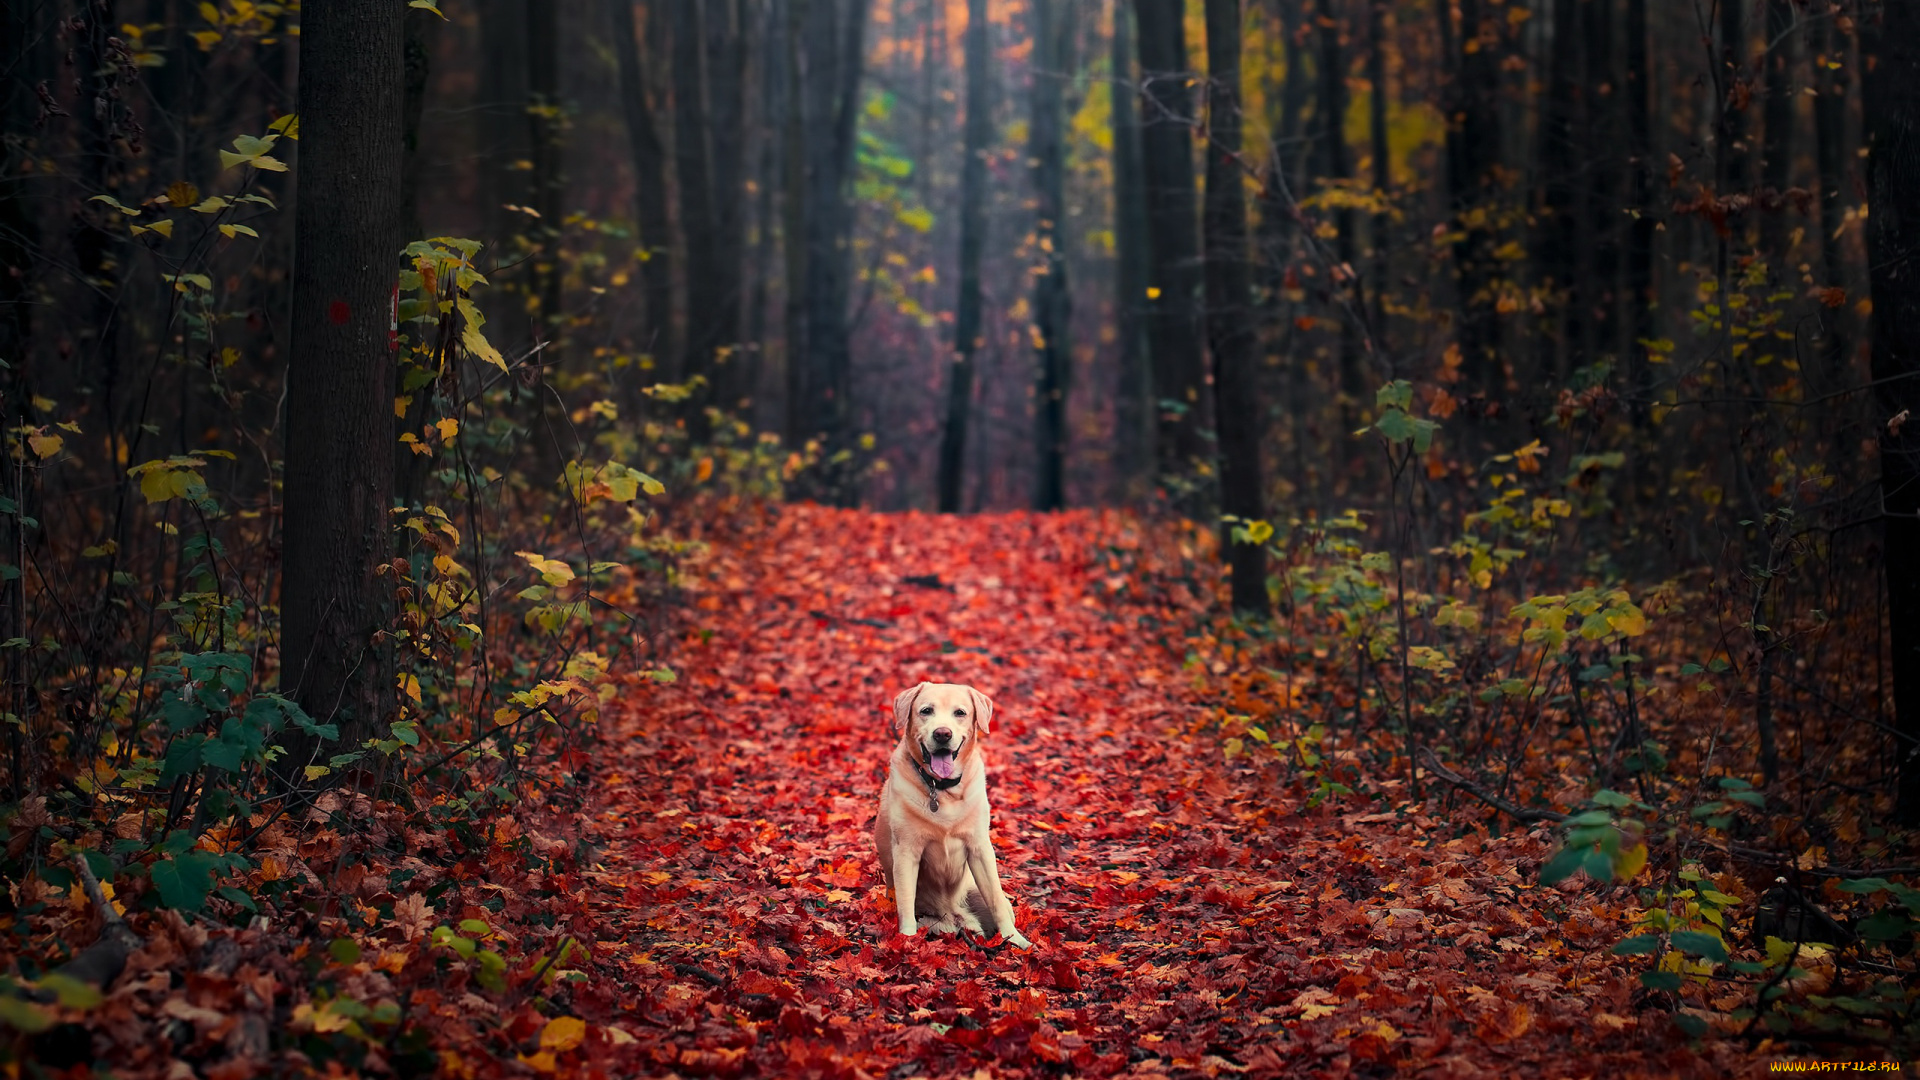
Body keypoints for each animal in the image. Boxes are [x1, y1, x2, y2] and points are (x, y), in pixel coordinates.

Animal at [879, 676, 1036, 945]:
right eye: (926, 711)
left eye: (960, 713)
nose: (943, 733)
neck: (941, 789)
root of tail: (955, 917)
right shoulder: (906, 851)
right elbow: (906, 905)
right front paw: (906, 942)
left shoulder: (980, 848)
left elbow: (995, 898)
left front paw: (1015, 940)